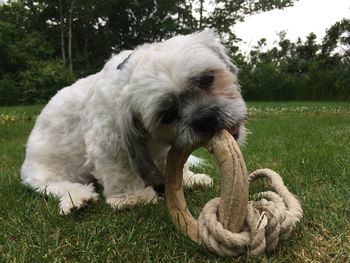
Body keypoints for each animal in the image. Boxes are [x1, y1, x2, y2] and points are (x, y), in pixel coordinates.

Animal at [20, 29, 247, 216]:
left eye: (206, 79)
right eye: (167, 114)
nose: (204, 118)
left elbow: (171, 163)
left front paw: (189, 180)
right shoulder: (109, 144)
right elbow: (121, 172)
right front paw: (134, 198)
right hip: (45, 178)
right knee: (62, 187)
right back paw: (78, 200)